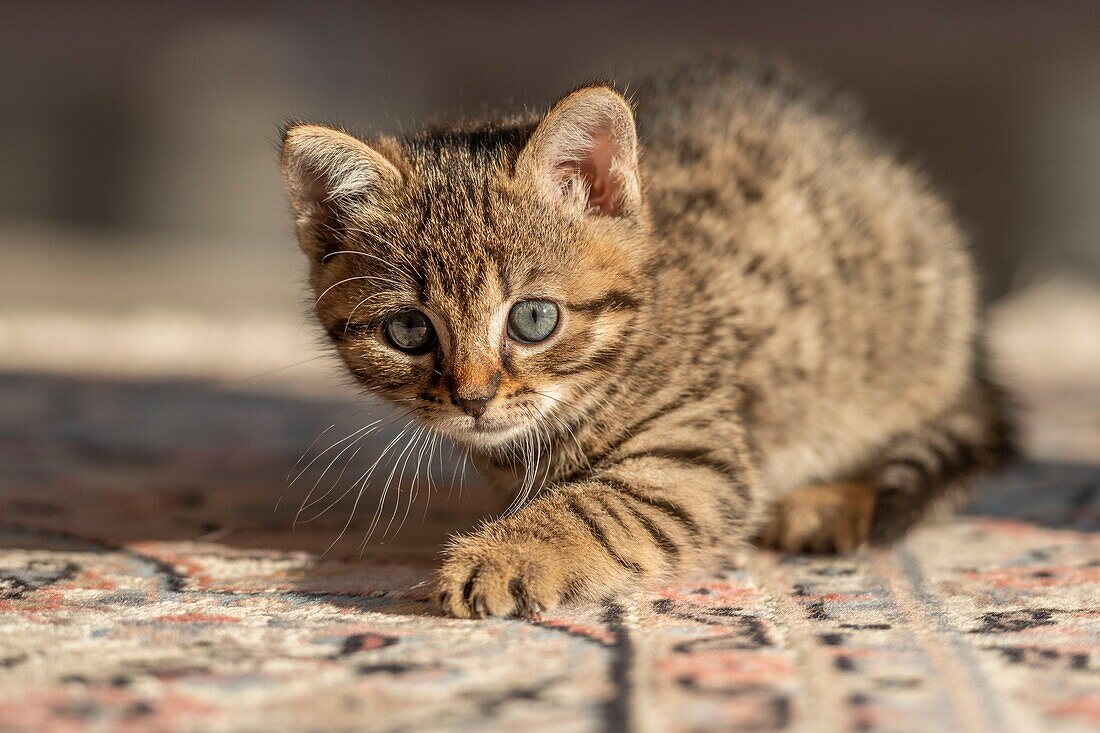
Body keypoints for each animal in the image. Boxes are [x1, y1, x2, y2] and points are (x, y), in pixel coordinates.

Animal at [277, 57, 1012, 616]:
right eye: (409, 329)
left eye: (533, 319)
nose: (473, 399)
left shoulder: (696, 454)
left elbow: (600, 507)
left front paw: (502, 554)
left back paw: (827, 502)